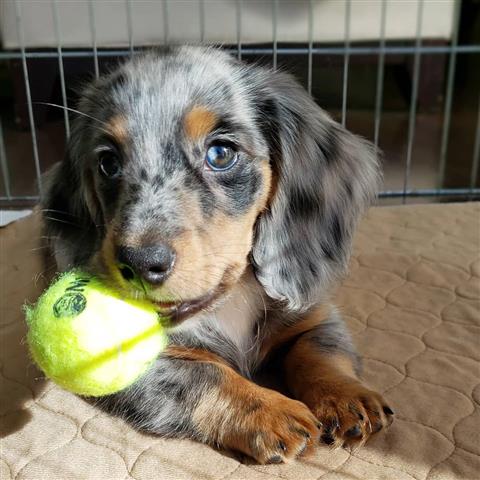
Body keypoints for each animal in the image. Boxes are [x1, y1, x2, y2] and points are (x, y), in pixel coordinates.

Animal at [42, 47, 394, 464]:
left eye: (221, 153)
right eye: (108, 163)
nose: (139, 264)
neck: (231, 300)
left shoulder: (313, 316)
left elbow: (318, 351)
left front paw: (345, 395)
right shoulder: (136, 364)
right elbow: (206, 374)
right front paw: (269, 410)